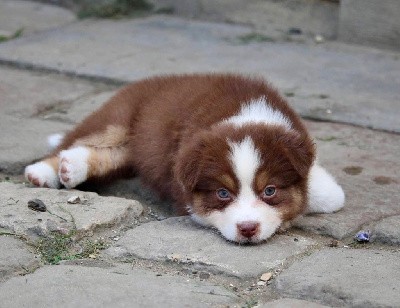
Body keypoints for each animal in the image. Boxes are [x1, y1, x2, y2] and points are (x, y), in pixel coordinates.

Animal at [25, 74, 344, 243]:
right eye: (222, 193)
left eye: (270, 190)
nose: (248, 229)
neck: (246, 114)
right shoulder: (184, 191)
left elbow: (329, 196)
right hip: (116, 119)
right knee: (72, 141)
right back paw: (44, 171)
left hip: (136, 144)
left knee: (112, 157)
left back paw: (72, 167)